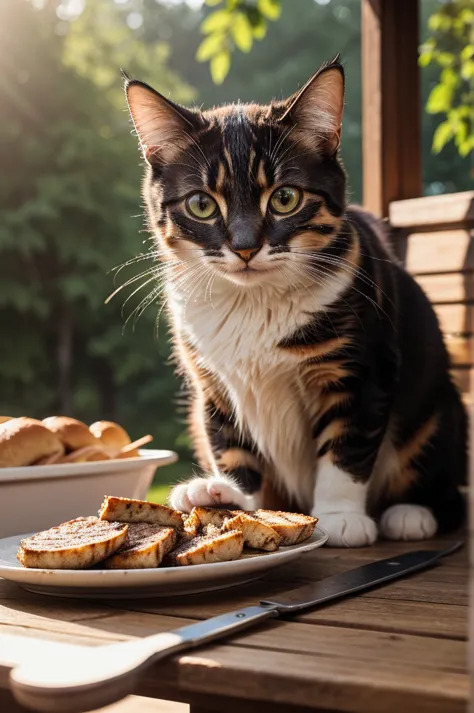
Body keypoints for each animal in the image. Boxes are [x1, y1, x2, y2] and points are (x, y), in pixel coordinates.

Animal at [123, 58, 466, 548]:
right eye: (202, 204)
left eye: (285, 198)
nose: (245, 246)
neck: (253, 305)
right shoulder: (212, 382)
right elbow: (230, 442)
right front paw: (232, 497)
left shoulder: (361, 367)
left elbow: (347, 444)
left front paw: (340, 516)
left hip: (439, 410)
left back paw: (411, 513)